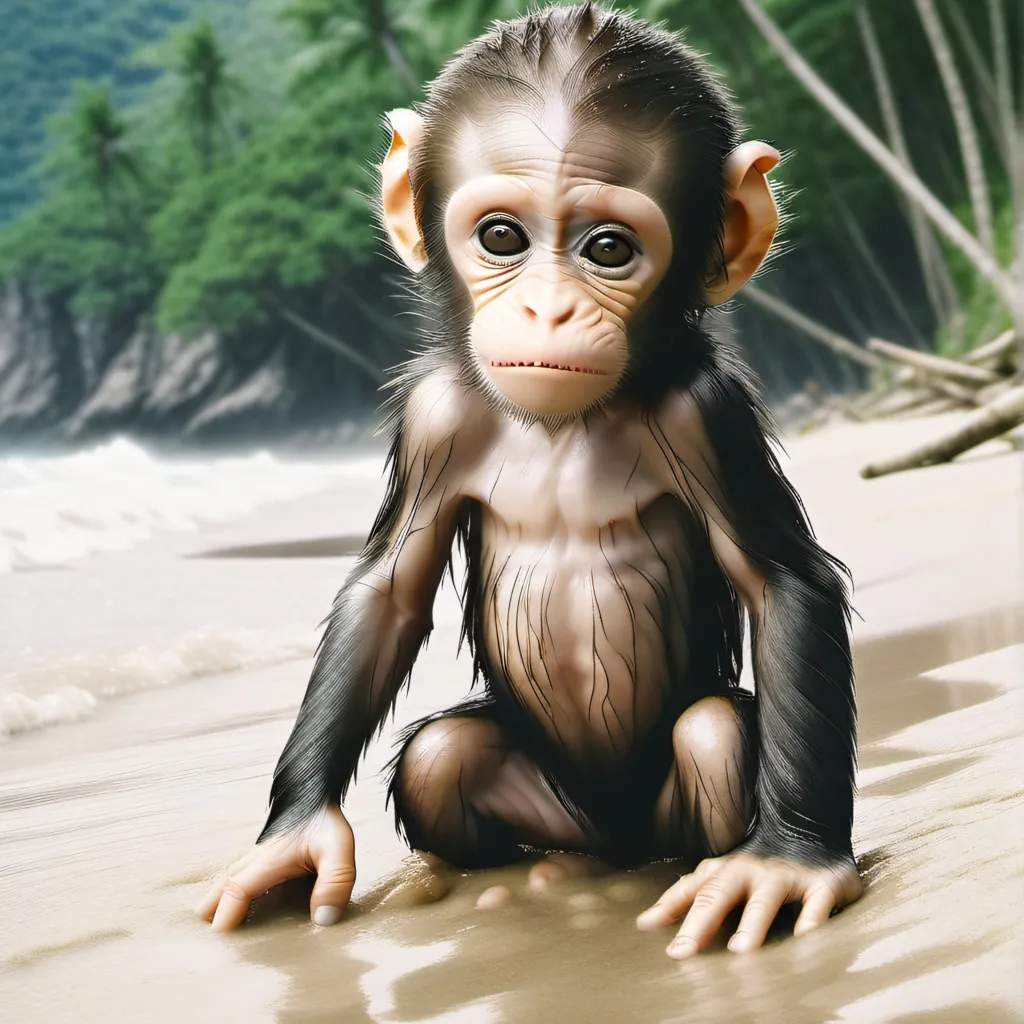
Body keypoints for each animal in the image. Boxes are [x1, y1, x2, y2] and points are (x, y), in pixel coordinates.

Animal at [198, 3, 863, 959]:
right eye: (503, 238)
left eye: (608, 249)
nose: (548, 308)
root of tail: (613, 841)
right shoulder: (434, 417)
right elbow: (388, 591)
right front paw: (292, 839)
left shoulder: (708, 412)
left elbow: (784, 583)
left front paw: (791, 862)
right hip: (550, 805)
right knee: (441, 760)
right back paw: (523, 877)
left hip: (662, 814)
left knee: (711, 734)